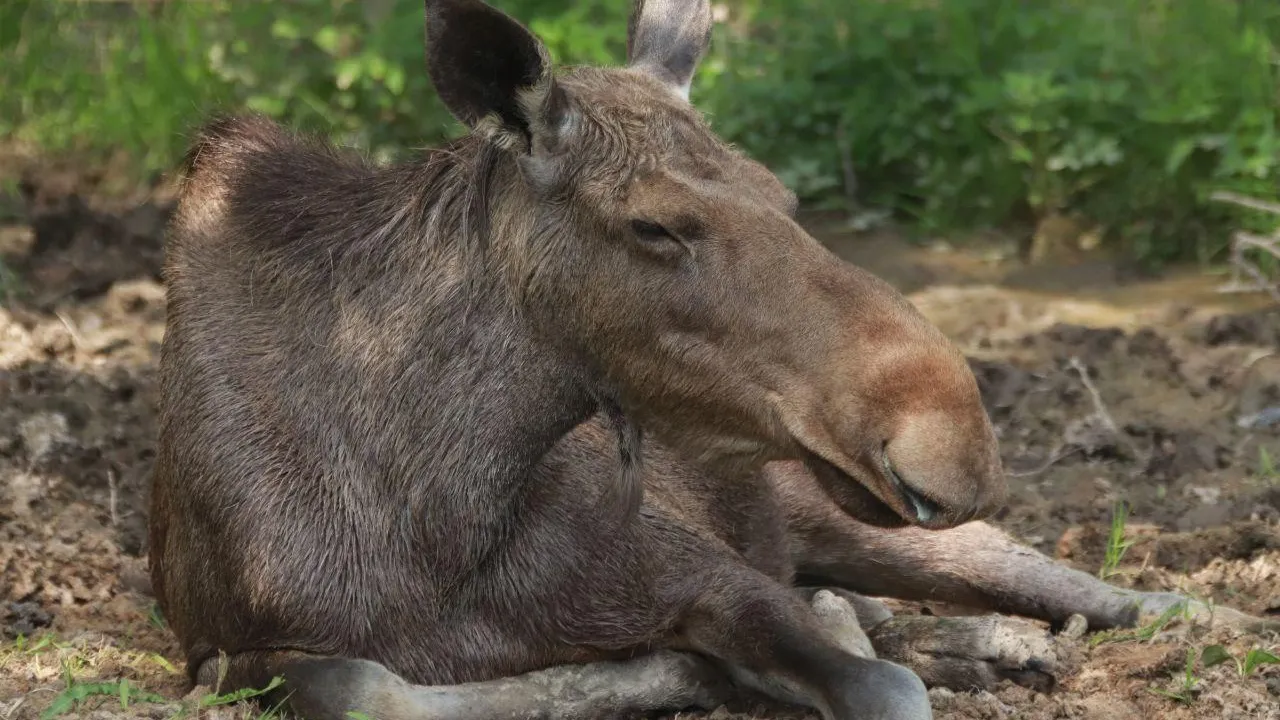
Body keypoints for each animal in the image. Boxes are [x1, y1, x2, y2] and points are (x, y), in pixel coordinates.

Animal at [147, 1, 1269, 717]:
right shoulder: (226, 649)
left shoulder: (708, 574)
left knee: (1123, 593)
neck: (441, 522)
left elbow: (875, 682)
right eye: (653, 225)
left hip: (858, 521)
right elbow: (372, 687)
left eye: (783, 193)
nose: (949, 435)